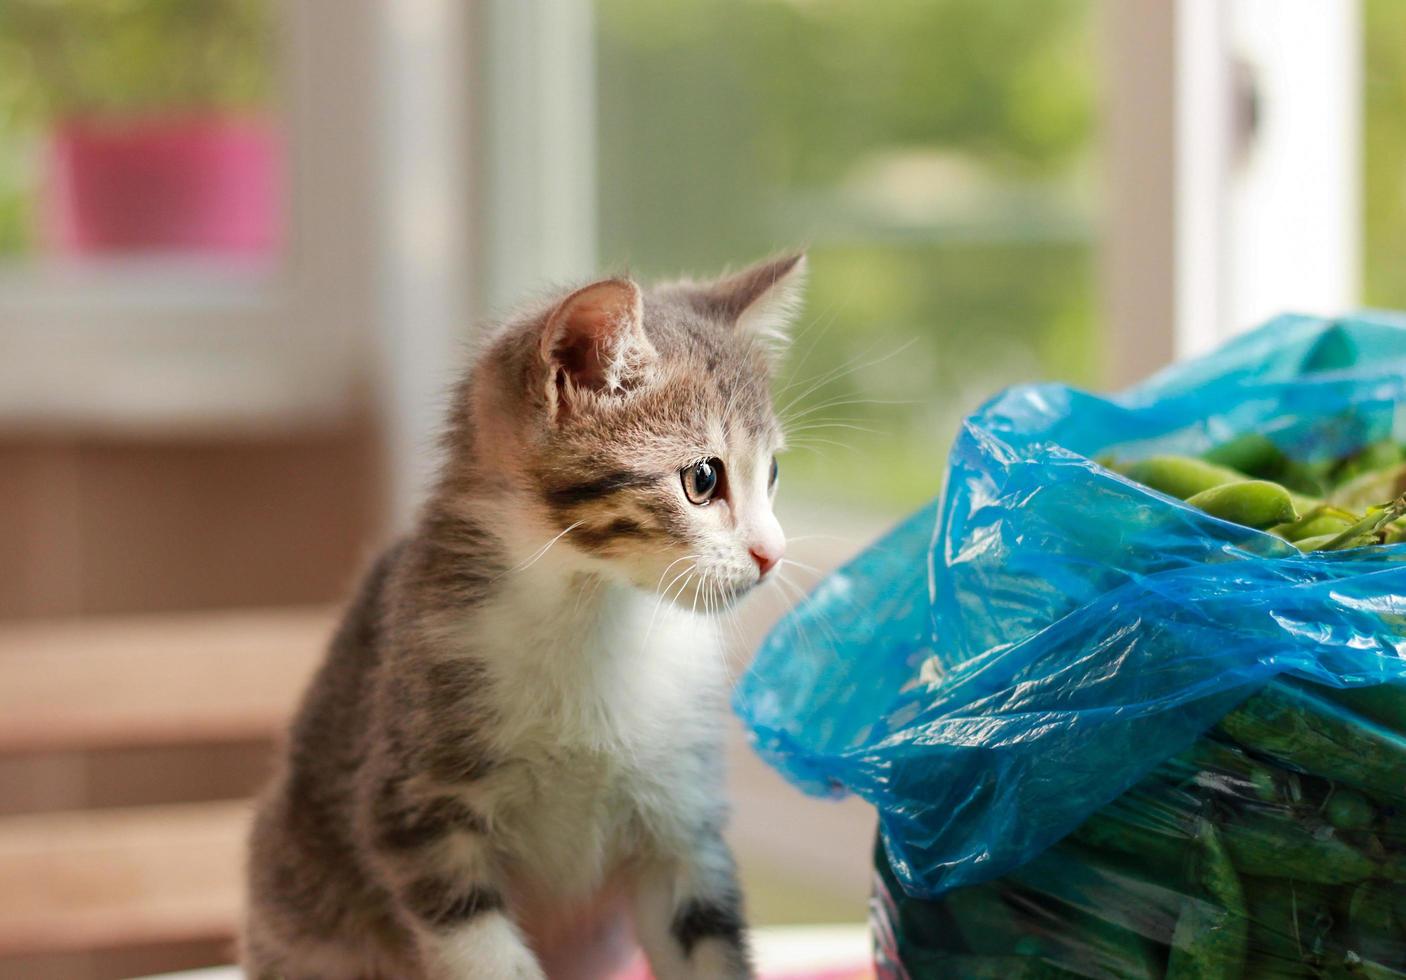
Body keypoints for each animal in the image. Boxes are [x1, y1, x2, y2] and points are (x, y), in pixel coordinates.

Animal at [247, 254, 809, 978]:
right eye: (703, 480)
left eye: (771, 474)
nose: (773, 553)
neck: (594, 616)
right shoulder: (417, 811)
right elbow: (484, 951)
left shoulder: (679, 820)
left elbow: (704, 941)